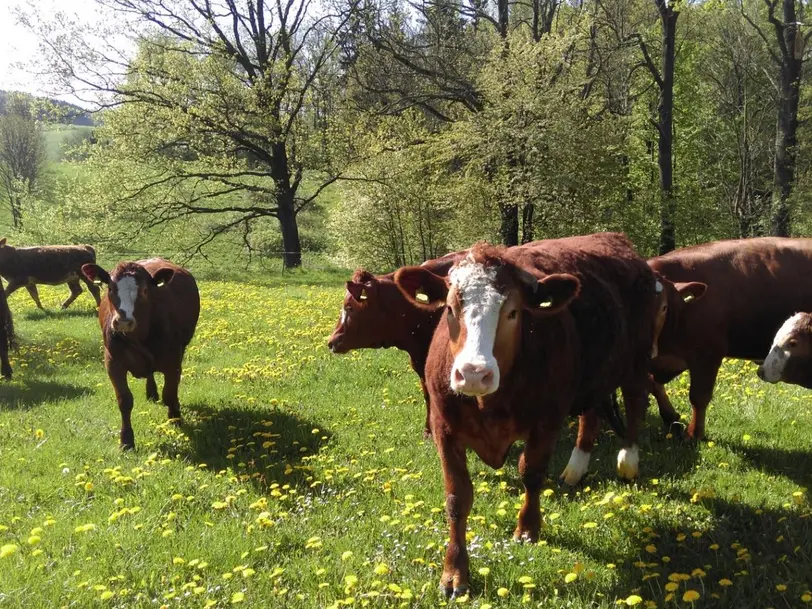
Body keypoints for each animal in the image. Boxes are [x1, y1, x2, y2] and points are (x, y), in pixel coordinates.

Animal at [652, 235, 812, 440]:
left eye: (663, 306)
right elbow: (653, 385)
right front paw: (670, 416)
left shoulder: (708, 355)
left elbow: (699, 397)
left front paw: (694, 434)